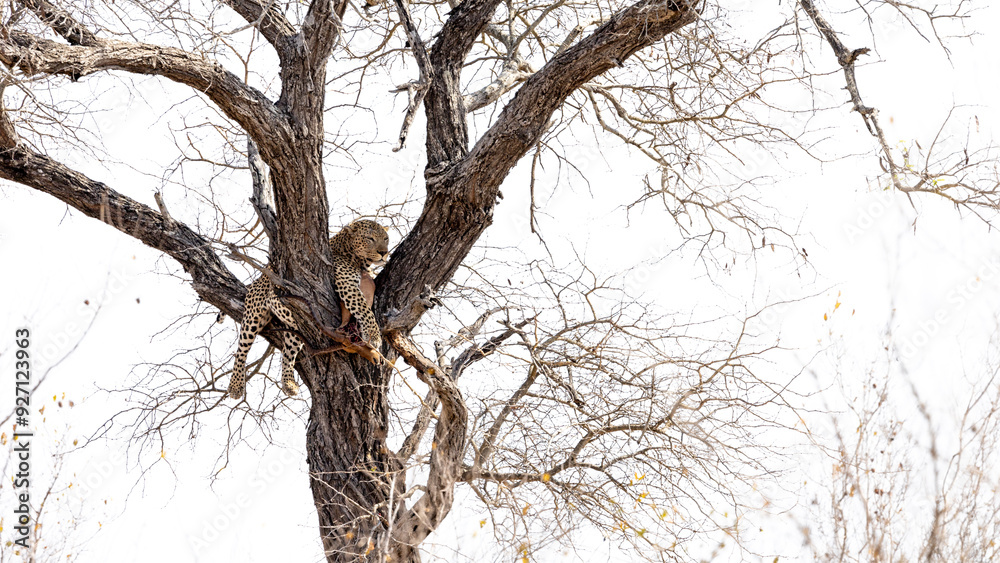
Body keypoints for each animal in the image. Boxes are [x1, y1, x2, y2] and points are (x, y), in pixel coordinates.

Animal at [227, 219, 390, 400]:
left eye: (386, 238)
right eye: (370, 238)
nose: (384, 252)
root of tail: (259, 277)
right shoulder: (347, 284)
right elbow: (364, 310)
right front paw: (374, 337)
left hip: (295, 323)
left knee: (288, 352)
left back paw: (289, 383)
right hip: (253, 315)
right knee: (242, 349)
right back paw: (235, 386)